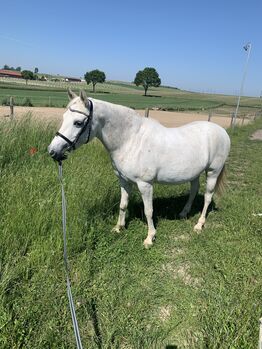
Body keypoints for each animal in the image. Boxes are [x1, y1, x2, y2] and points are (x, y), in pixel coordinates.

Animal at [48, 89, 230, 247]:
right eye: (64, 117)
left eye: (78, 123)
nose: (53, 151)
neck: (130, 140)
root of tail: (222, 131)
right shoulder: (123, 181)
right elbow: (123, 205)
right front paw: (118, 228)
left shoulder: (145, 184)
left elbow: (149, 210)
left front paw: (150, 238)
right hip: (194, 174)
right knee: (193, 191)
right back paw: (183, 213)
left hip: (213, 172)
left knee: (207, 197)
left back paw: (199, 225)